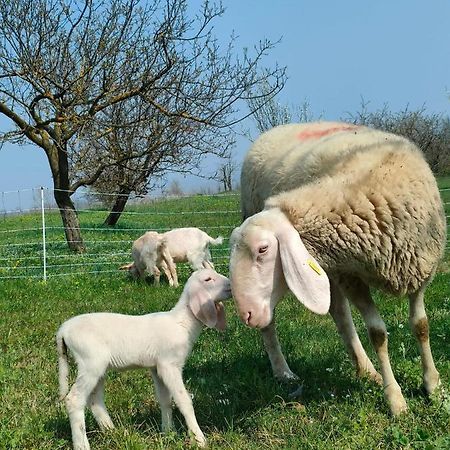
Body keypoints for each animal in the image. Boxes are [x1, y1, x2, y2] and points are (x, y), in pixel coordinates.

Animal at [57, 268, 232, 448]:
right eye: (208, 279)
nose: (231, 285)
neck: (181, 323)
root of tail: (63, 330)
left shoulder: (157, 367)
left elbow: (165, 400)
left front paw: (169, 432)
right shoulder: (169, 364)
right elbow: (184, 401)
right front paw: (199, 440)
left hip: (97, 367)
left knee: (95, 399)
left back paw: (112, 431)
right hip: (90, 362)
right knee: (74, 399)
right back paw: (82, 445)